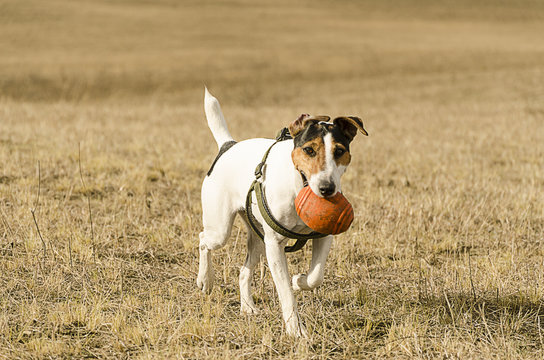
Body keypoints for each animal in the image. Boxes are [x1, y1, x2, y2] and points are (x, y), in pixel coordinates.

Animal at [197, 88, 370, 338]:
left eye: (339, 151)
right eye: (309, 150)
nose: (327, 189)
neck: (297, 187)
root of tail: (228, 146)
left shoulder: (324, 236)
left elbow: (316, 276)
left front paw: (299, 280)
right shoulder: (275, 244)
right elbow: (285, 292)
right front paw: (295, 329)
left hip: (257, 238)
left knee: (243, 271)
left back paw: (248, 307)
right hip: (221, 230)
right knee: (203, 240)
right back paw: (205, 280)